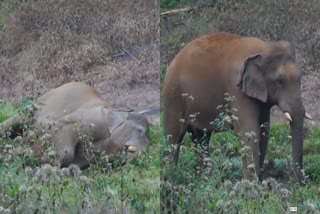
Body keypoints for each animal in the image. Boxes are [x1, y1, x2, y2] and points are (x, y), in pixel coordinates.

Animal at [162, 32, 312, 181]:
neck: (265, 48)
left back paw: (204, 179)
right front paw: (251, 184)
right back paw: (170, 179)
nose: (297, 181)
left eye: (300, 78)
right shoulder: (236, 89)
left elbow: (264, 130)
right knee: (174, 136)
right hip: (173, 96)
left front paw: (259, 181)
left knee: (200, 138)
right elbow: (249, 131)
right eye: (279, 81)